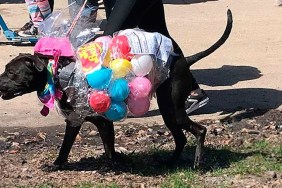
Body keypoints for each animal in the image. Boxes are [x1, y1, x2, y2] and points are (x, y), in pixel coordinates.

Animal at [0, 9, 232, 167]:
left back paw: (197, 163)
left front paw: (58, 164)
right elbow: (103, 146)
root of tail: (183, 60)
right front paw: (113, 161)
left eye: (11, 72)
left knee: (200, 130)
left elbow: (74, 147)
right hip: (169, 113)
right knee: (181, 138)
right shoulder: (94, 121)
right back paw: (170, 162)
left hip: (173, 110)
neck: (58, 71)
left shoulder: (85, 120)